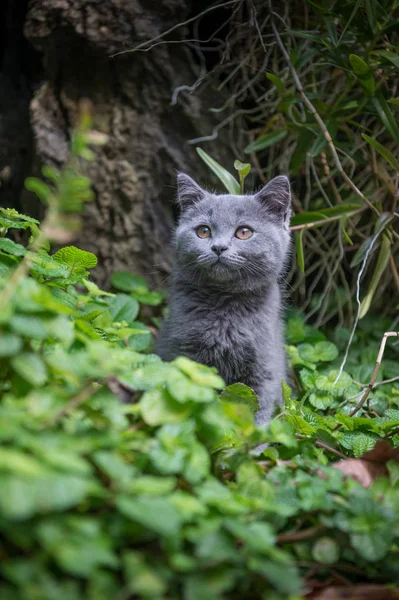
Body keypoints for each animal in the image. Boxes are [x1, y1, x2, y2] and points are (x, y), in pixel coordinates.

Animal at [158, 171, 292, 424]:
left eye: (244, 232)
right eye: (203, 231)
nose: (218, 247)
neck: (225, 306)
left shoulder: (264, 369)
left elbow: (258, 411)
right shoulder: (183, 353)